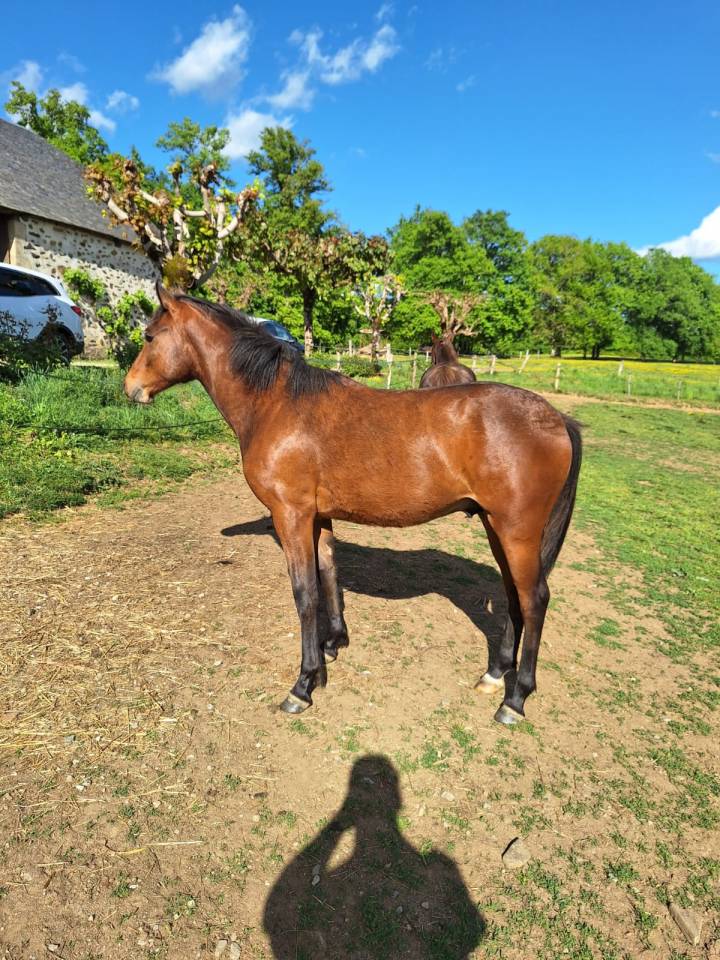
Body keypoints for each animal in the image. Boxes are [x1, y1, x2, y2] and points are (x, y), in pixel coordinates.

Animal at [124, 283, 582, 725]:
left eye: (149, 336)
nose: (130, 388)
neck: (277, 404)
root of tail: (555, 418)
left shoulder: (290, 515)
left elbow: (305, 592)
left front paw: (304, 684)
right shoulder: (318, 516)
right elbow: (329, 574)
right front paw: (333, 645)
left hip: (516, 531)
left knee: (534, 599)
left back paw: (515, 699)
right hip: (496, 526)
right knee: (513, 596)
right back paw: (495, 674)